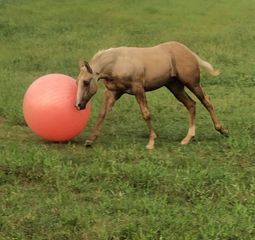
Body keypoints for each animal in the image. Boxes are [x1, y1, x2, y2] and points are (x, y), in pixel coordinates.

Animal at [74, 42, 228, 149]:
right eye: (77, 82)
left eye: (86, 82)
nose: (78, 105)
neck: (118, 62)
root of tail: (189, 52)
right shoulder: (113, 92)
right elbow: (102, 113)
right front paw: (90, 140)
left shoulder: (138, 89)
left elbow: (146, 114)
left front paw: (151, 142)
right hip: (175, 87)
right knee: (191, 104)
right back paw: (187, 138)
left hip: (192, 83)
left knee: (206, 101)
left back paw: (222, 130)